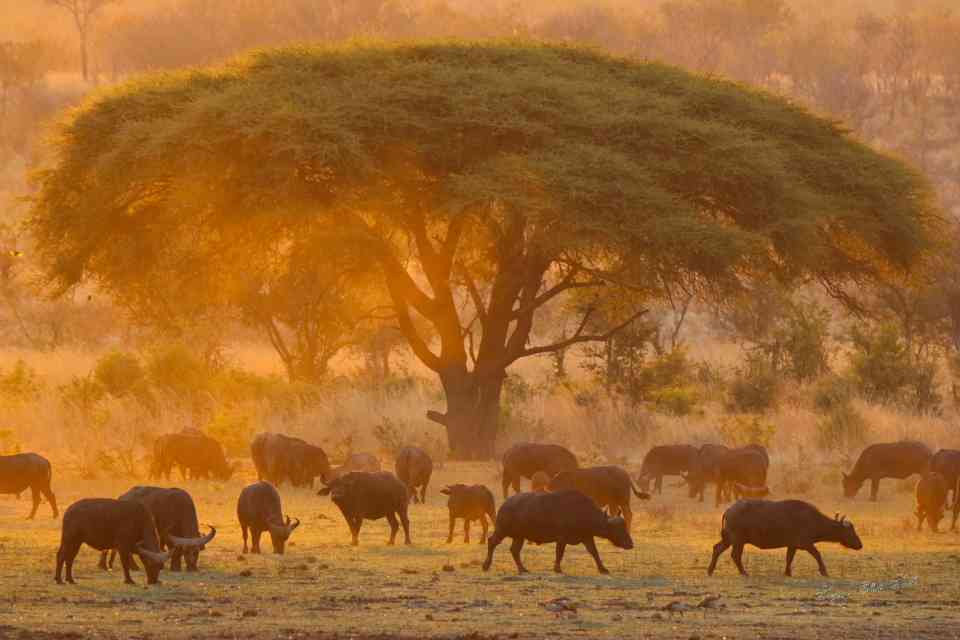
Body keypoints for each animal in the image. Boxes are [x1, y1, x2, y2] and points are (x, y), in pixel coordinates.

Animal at [482, 490, 633, 575]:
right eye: (617, 529)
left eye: (624, 526)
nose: (631, 544)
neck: (583, 513)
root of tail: (505, 504)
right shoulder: (562, 538)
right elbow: (559, 553)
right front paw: (557, 568)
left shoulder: (587, 537)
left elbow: (594, 553)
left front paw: (603, 569)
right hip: (502, 530)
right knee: (492, 542)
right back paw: (486, 565)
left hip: (519, 537)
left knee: (514, 550)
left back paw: (522, 569)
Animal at [707, 499, 862, 577]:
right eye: (850, 531)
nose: (860, 545)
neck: (813, 520)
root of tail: (729, 510)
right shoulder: (806, 544)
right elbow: (818, 555)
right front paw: (824, 571)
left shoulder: (792, 545)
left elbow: (789, 558)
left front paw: (787, 572)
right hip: (738, 540)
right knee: (735, 555)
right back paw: (744, 572)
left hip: (729, 539)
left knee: (717, 549)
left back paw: (710, 570)